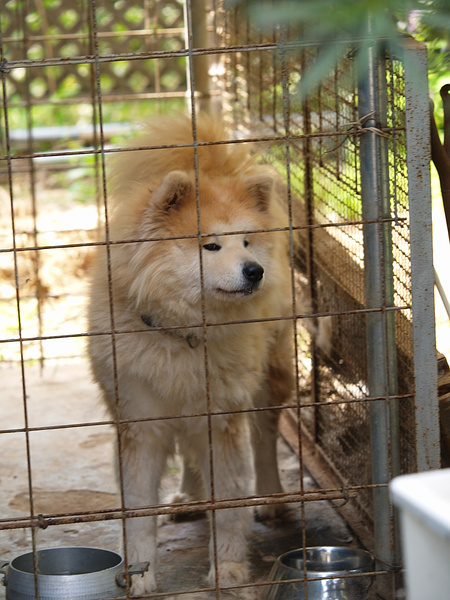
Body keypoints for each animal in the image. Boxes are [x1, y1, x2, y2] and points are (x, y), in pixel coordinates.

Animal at [89, 115, 296, 592]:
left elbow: (230, 502)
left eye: (246, 242)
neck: (182, 333)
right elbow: (138, 513)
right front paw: (140, 576)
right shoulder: (140, 425)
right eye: (211, 245)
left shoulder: (221, 420)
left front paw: (228, 569)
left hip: (268, 380)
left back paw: (271, 496)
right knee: (188, 452)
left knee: (264, 438)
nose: (255, 271)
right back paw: (189, 496)